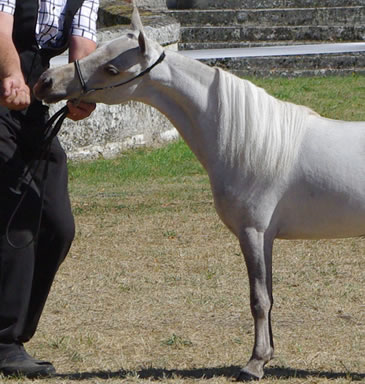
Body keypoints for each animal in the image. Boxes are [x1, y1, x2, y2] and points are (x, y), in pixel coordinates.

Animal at [32, 7, 362, 380]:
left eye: (112, 69)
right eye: (96, 53)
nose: (46, 81)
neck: (248, 138)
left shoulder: (253, 233)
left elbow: (259, 299)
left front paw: (254, 363)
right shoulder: (263, 237)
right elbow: (268, 295)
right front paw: (265, 357)